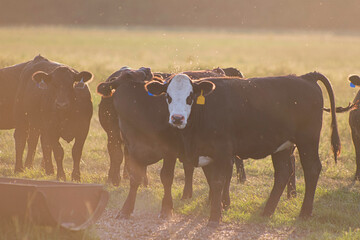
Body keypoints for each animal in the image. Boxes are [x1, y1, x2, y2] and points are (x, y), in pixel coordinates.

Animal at [146, 71, 340, 227]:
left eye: (191, 96)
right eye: (168, 96)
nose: (177, 118)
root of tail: (306, 77)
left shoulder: (222, 151)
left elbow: (218, 181)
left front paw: (215, 217)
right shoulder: (175, 150)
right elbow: (167, 177)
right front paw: (166, 210)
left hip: (307, 140)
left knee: (312, 169)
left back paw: (304, 213)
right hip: (282, 146)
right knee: (283, 172)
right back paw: (267, 211)